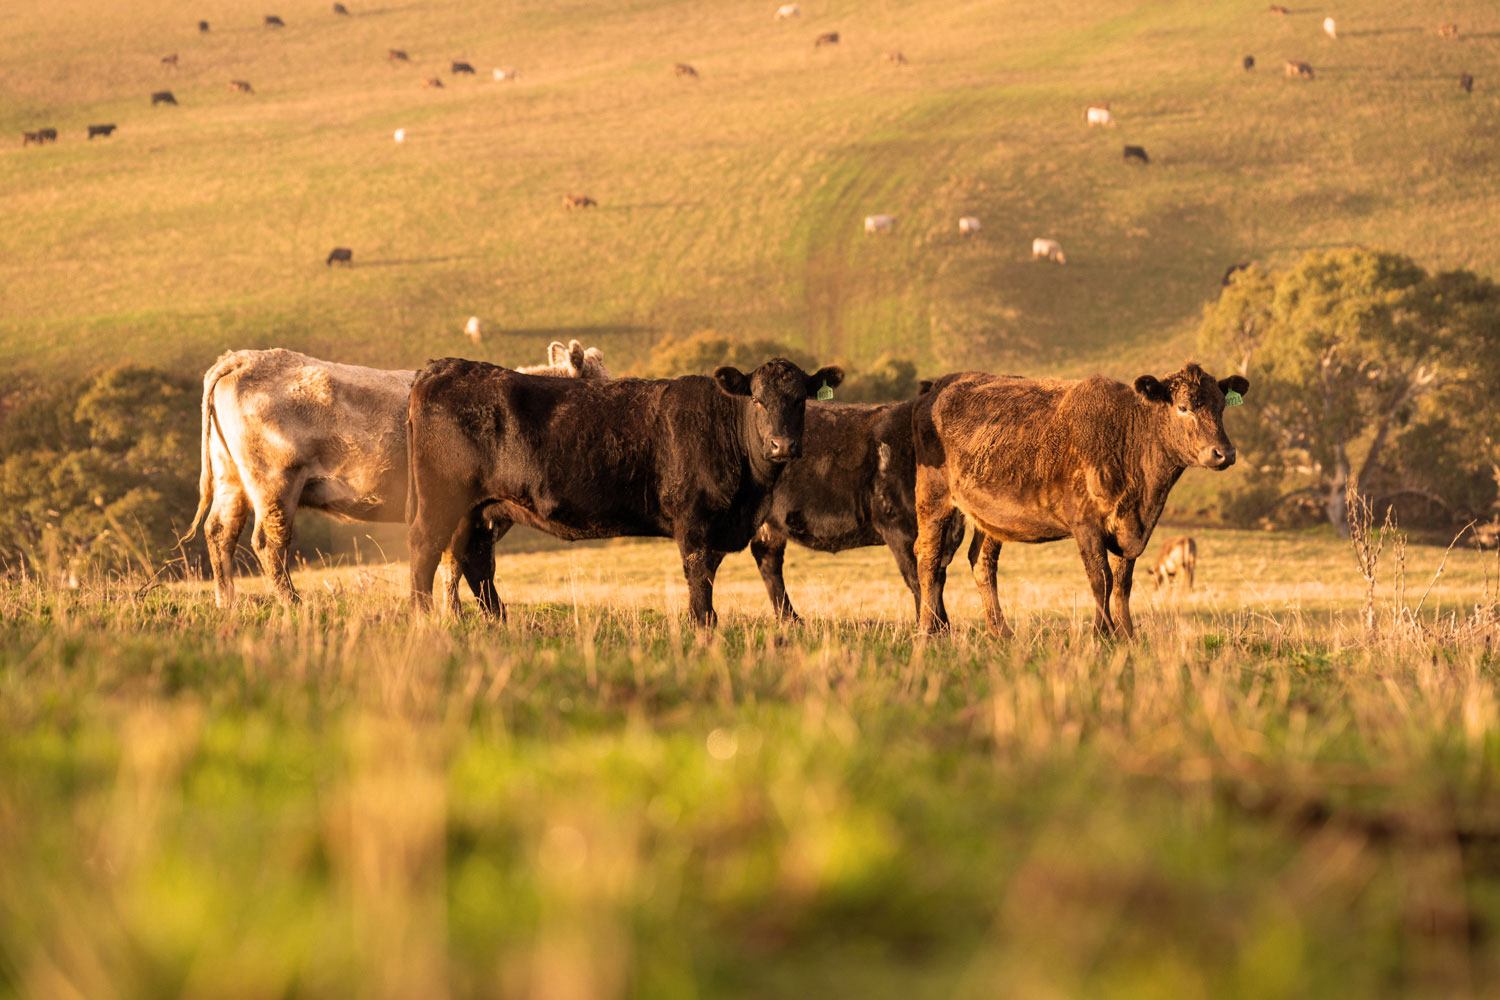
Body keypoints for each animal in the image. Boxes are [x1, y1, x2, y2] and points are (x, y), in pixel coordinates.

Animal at [181, 341, 612, 609]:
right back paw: (293, 604)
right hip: (274, 481)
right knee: (268, 543)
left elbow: (450, 564)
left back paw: (227, 603)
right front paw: (453, 615)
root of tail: (243, 357)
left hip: (231, 479)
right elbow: (455, 564)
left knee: (220, 533)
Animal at [405, 357, 842, 624]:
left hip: (479, 509)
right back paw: (422, 618)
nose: (782, 445)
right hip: (441, 501)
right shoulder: (694, 523)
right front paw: (703, 633)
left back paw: (500, 622)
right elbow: (699, 585)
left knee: (474, 561)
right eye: (756, 398)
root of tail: (444, 366)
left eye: (800, 400)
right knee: (426, 550)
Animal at [749, 395, 968, 622]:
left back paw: (790, 619)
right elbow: (918, 578)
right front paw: (932, 625)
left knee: (769, 560)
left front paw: (942, 624)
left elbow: (936, 579)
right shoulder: (899, 528)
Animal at [911, 363, 1249, 638]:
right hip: (933, 499)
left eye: (1221, 407)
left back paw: (1001, 633)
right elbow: (1102, 579)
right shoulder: (1086, 524)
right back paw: (928, 632)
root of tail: (938, 387)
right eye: (1183, 407)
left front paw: (1128, 636)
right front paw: (1101, 634)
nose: (1224, 453)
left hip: (990, 518)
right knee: (928, 559)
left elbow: (1123, 583)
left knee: (982, 563)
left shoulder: (1128, 529)